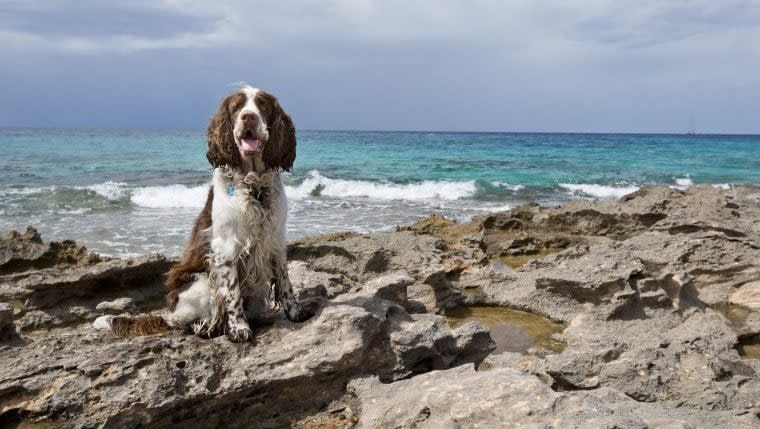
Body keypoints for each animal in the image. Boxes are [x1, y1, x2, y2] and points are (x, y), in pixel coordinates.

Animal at [93, 85, 320, 340]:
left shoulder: (276, 240)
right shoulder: (225, 247)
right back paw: (205, 327)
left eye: (262, 105)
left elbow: (284, 281)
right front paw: (239, 328)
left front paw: (295, 312)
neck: (253, 186)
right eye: (236, 107)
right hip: (199, 282)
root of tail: (167, 313)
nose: (248, 117)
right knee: (183, 321)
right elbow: (232, 293)